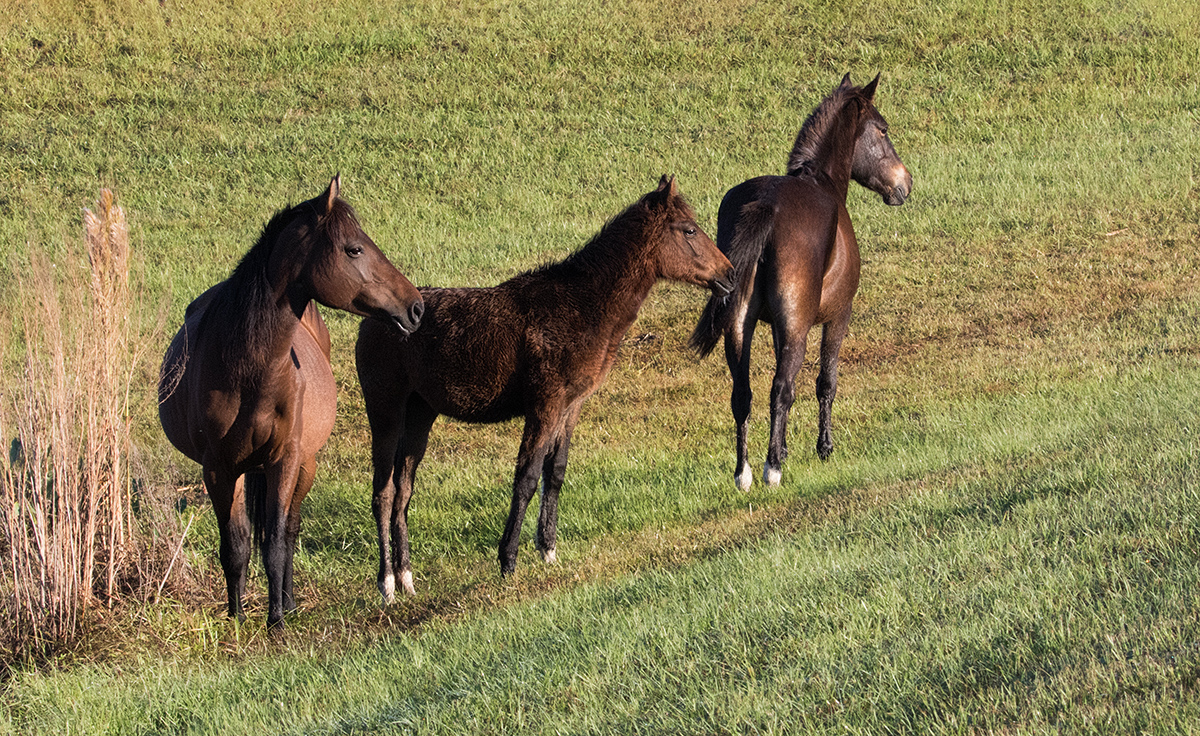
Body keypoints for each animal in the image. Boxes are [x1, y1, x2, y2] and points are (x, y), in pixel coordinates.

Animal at [158, 176, 424, 629]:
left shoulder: (283, 460)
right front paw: (237, 619)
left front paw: (277, 621)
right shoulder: (218, 468)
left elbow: (277, 543)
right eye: (354, 248)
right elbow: (236, 546)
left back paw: (289, 602)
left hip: (305, 464)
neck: (247, 369)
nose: (416, 306)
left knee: (290, 530)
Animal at [355, 175, 735, 600]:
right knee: (383, 492)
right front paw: (508, 560)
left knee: (404, 490)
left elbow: (555, 472)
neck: (582, 307)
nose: (730, 274)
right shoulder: (545, 404)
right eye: (689, 230)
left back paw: (406, 577)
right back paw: (387, 583)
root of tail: (370, 321)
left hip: (421, 413)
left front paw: (548, 549)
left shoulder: (571, 405)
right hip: (385, 410)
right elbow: (527, 477)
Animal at [690, 73, 913, 490]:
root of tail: (768, 204)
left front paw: (786, 446)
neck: (822, 183)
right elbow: (826, 381)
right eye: (883, 129)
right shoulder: (837, 316)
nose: (905, 183)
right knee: (780, 388)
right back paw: (771, 469)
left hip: (740, 325)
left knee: (743, 393)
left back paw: (744, 472)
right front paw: (823, 448)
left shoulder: (778, 327)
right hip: (798, 327)